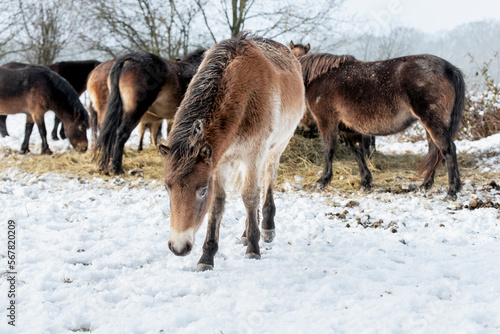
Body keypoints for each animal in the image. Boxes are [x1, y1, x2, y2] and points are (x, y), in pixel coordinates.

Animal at [160, 32, 304, 270]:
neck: (242, 93)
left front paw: (254, 250)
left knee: (267, 180)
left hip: (275, 149)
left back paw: (266, 229)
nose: (179, 248)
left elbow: (250, 195)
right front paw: (207, 257)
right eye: (167, 188)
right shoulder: (220, 161)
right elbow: (218, 203)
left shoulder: (254, 153)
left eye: (202, 190)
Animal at [296, 52, 464, 198]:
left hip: (433, 122)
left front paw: (322, 181)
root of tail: (450, 69)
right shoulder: (348, 128)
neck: (320, 78)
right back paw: (425, 186)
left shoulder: (327, 122)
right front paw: (365, 182)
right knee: (435, 151)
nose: (302, 127)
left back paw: (452, 191)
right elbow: (358, 153)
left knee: (448, 149)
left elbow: (328, 151)